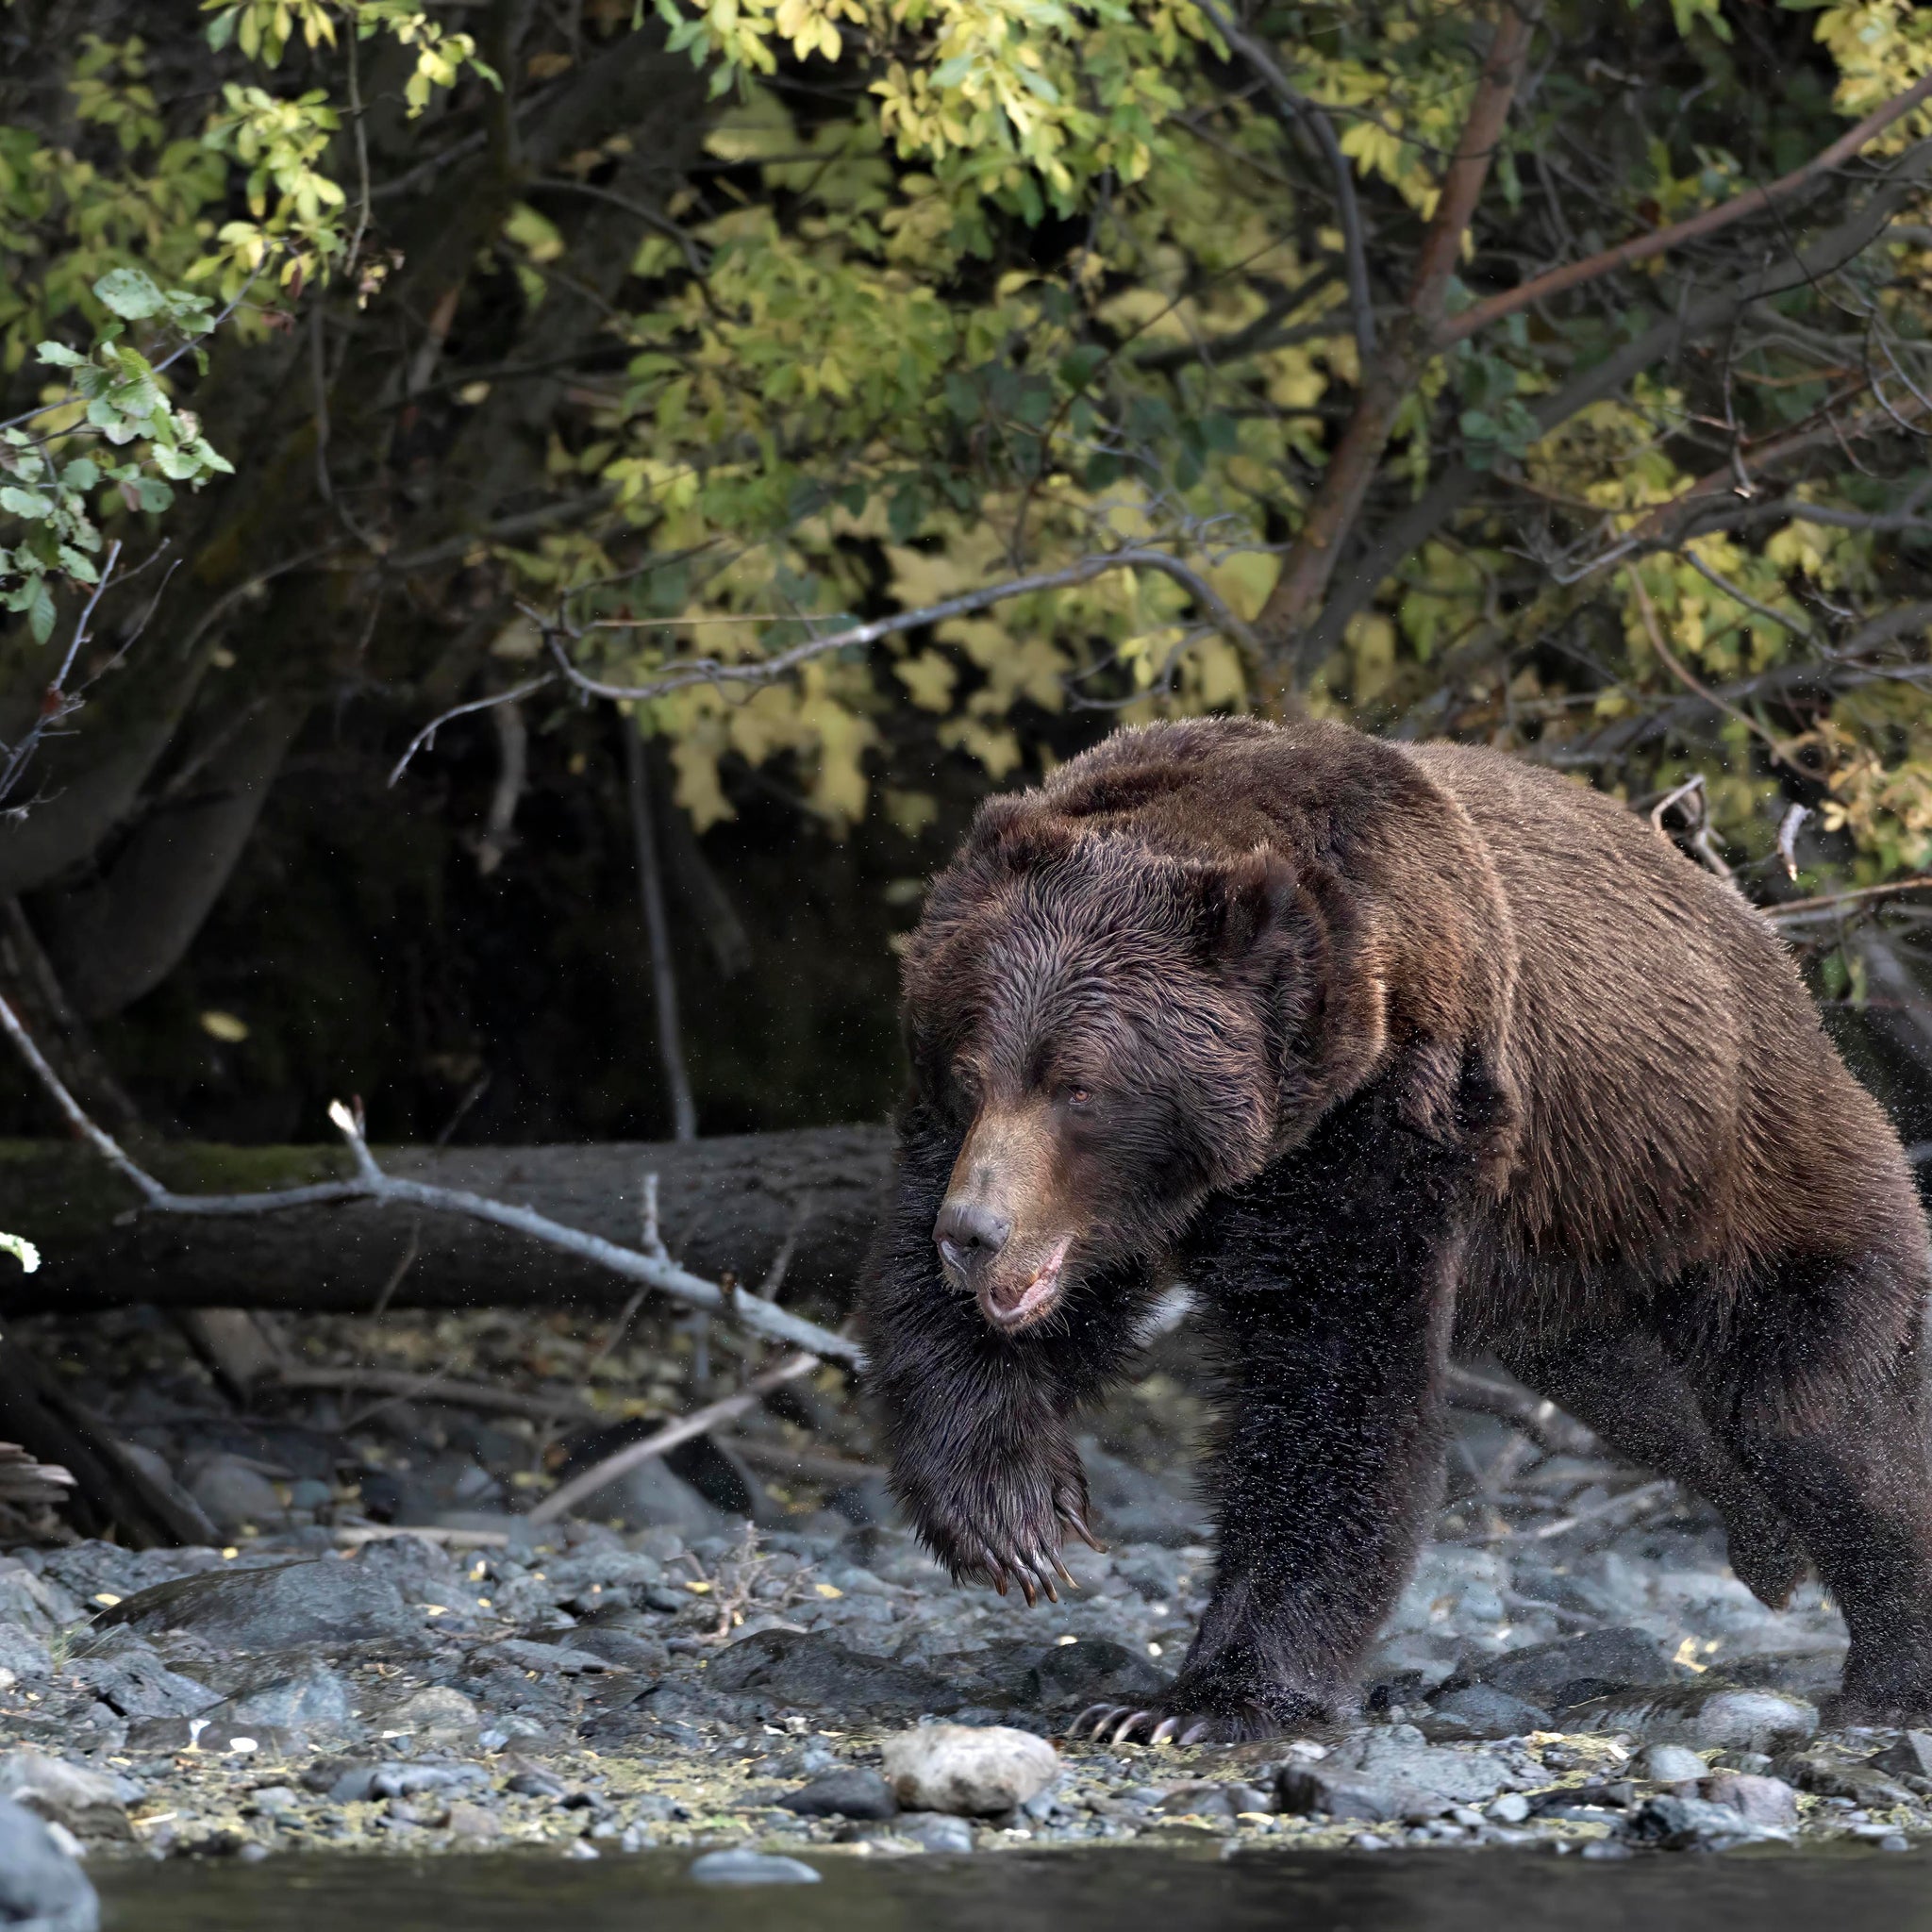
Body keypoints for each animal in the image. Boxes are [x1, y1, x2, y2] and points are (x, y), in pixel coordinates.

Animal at [865, 718, 1932, 1746]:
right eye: (970, 1073)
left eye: (1079, 1088)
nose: (973, 1233)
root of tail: (1779, 963)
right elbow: (949, 1326)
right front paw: (1013, 1519)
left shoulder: (1395, 1126)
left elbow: (1337, 1396)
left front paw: (1200, 1698)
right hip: (1577, 1262)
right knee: (1648, 1401)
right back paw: (1765, 1542)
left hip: (1741, 1177)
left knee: (1814, 1415)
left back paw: (1887, 1671)